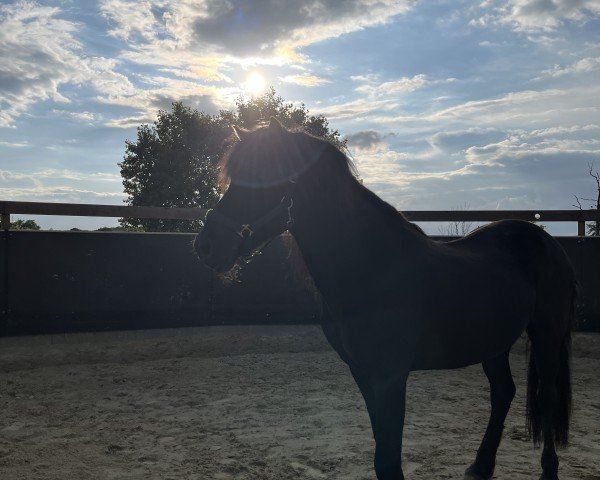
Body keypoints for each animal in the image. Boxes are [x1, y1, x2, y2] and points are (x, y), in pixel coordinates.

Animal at [193, 117, 576, 480]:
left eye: (264, 175)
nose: (206, 246)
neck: (372, 267)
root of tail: (546, 241)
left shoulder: (391, 376)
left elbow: (388, 461)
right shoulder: (363, 372)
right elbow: (382, 454)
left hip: (546, 335)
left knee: (546, 397)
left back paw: (548, 468)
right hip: (493, 343)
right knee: (503, 393)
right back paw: (480, 466)